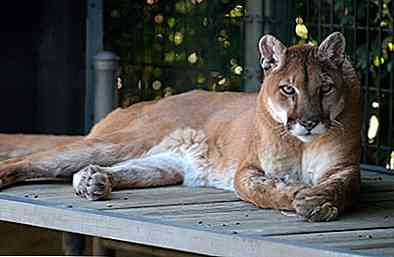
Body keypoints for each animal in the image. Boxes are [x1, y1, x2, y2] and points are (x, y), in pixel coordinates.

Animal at [0, 31, 360, 220]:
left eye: (325, 88)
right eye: (288, 90)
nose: (310, 122)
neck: (301, 143)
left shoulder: (344, 167)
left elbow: (342, 187)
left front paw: (317, 200)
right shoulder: (248, 168)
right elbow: (262, 190)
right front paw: (298, 193)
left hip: (164, 165)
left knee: (107, 169)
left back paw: (92, 182)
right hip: (123, 141)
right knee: (32, 160)